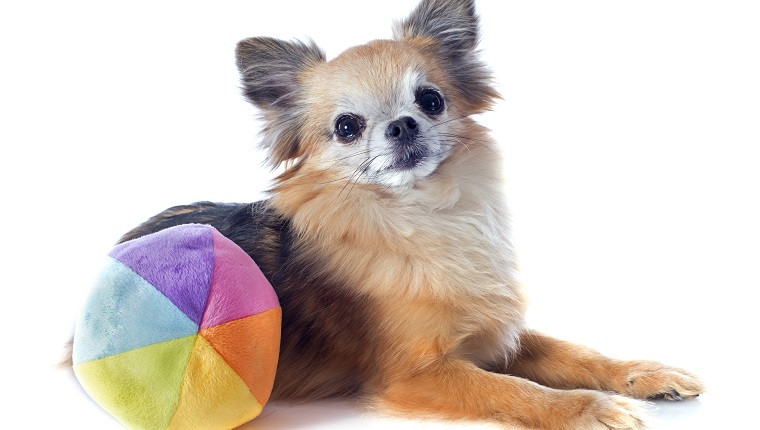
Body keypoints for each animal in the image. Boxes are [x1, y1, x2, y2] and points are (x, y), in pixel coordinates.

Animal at [68, 0, 704, 428]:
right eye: (347, 127)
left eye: (431, 100)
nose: (402, 124)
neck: (426, 216)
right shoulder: (416, 373)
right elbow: (511, 392)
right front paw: (588, 408)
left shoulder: (493, 333)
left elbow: (577, 353)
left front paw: (644, 375)